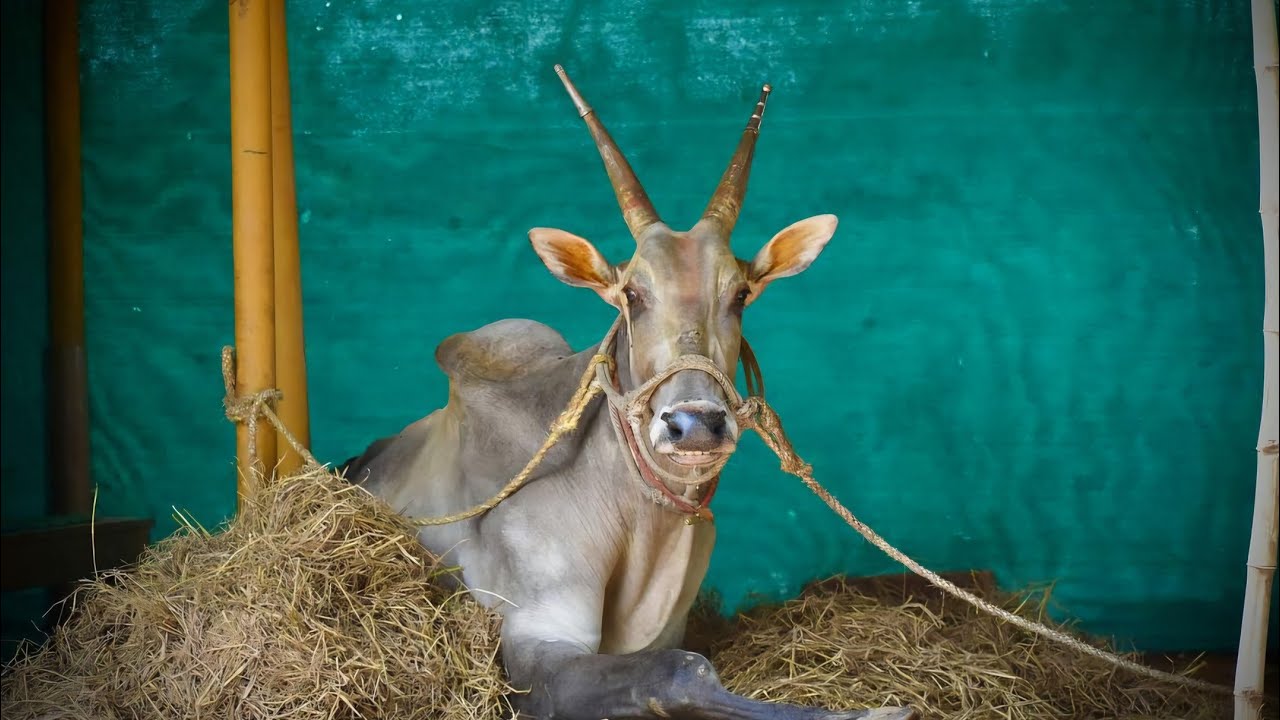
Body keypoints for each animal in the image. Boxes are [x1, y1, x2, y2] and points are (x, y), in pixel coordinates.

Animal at [339, 65, 919, 720]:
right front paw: (875, 709)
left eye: (740, 294)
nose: (695, 424)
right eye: (632, 295)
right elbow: (682, 670)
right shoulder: (535, 641)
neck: (646, 531)